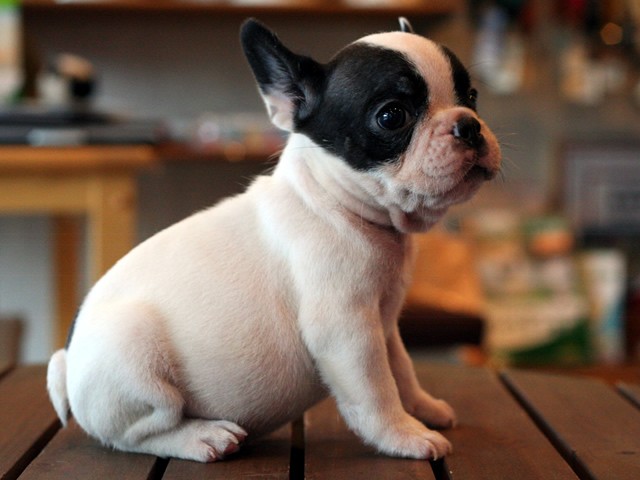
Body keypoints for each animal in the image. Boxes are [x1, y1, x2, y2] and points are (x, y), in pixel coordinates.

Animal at [47, 17, 501, 463]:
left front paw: (424, 409)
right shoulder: (347, 330)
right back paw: (202, 437)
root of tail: (67, 363)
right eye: (392, 116)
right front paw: (404, 436)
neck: (335, 205)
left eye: (472, 96)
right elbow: (377, 391)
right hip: (134, 358)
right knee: (137, 433)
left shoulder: (384, 325)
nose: (468, 124)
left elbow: (402, 372)